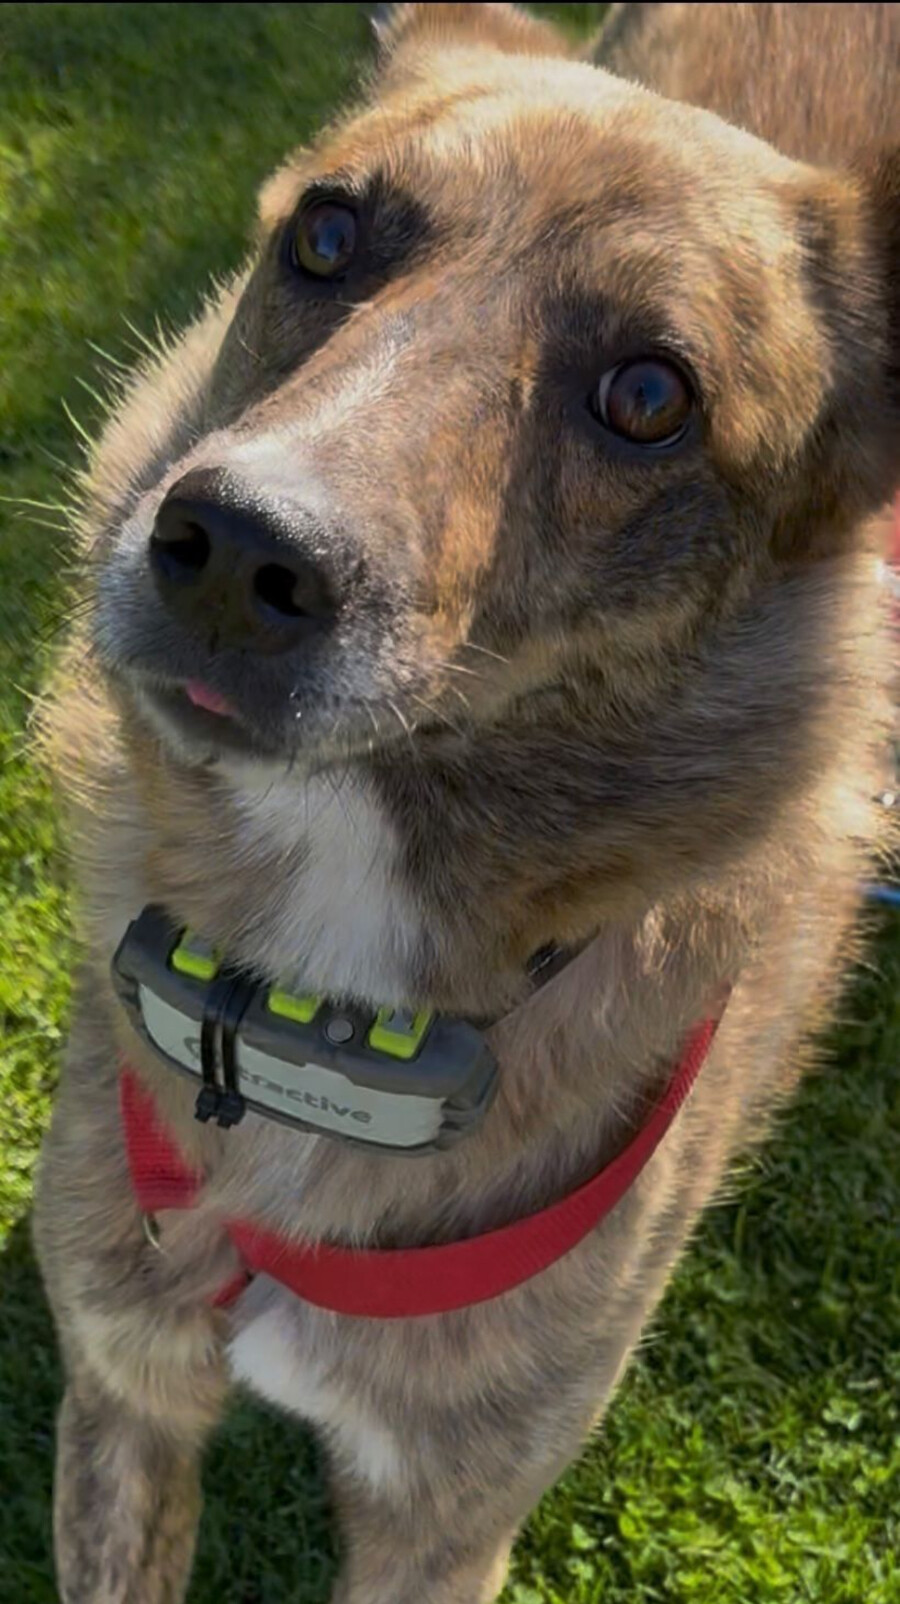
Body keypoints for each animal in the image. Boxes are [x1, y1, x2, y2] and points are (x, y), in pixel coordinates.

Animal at [33, 4, 898, 1601]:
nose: (234, 548)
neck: (312, 995)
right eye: (324, 234)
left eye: (648, 397)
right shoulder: (124, 1389)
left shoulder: (445, 1525)